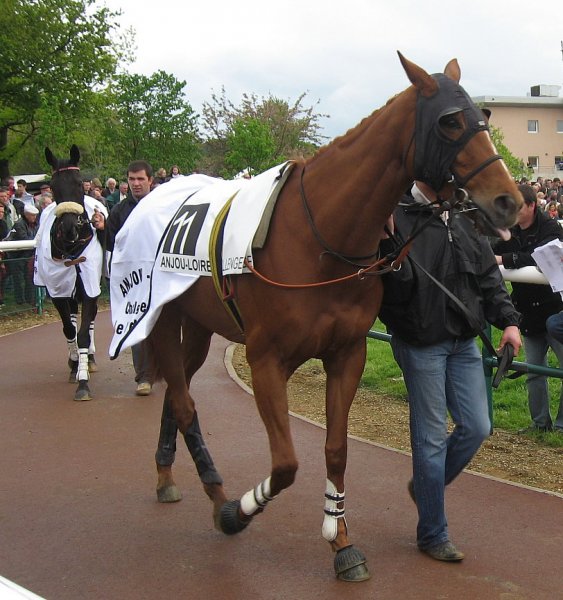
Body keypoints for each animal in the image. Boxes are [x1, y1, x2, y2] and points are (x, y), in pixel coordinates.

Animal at [135, 55, 524, 580]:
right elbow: (285, 464)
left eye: (484, 118)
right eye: (450, 122)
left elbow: (335, 449)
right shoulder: (265, 359)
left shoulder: (347, 353)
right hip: (161, 318)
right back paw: (217, 498)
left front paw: (340, 541)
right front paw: (240, 510)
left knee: (178, 398)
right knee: (183, 402)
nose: (510, 201)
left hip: (197, 326)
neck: (318, 238)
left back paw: (167, 476)